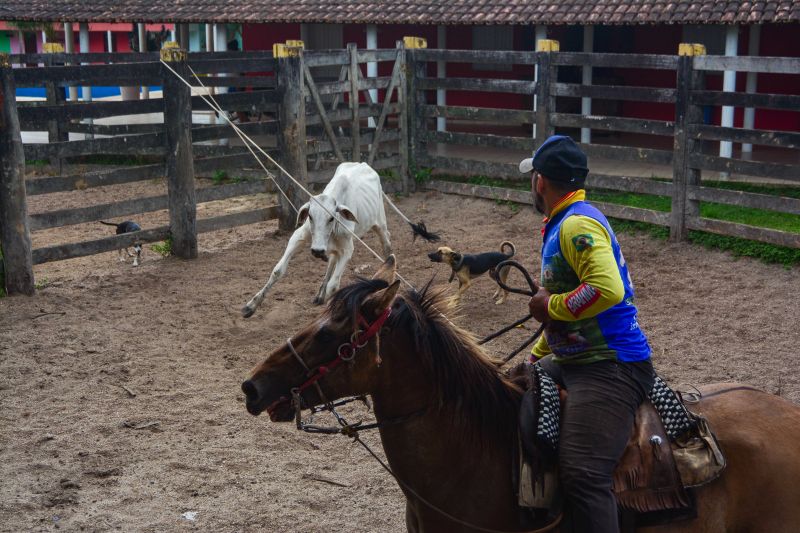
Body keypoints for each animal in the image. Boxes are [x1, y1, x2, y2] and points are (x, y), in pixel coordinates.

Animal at [244, 160, 394, 314]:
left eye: (331, 217)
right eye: (310, 216)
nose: (317, 251)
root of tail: (363, 164)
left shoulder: (347, 249)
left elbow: (333, 286)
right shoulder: (298, 237)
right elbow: (278, 270)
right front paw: (251, 305)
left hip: (380, 224)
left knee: (386, 245)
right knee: (332, 261)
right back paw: (320, 295)